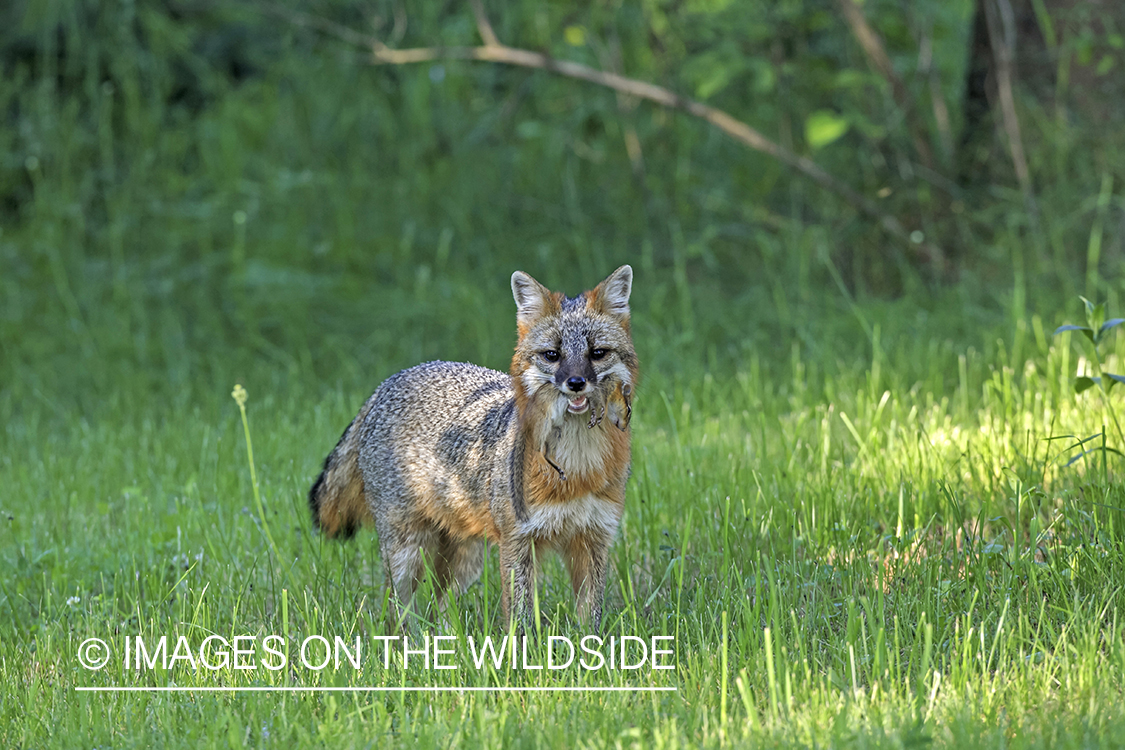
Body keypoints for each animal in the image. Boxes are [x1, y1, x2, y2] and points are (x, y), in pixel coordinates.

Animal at [312, 266, 639, 629]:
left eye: (597, 353)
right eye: (552, 355)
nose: (576, 383)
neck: (577, 468)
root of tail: (385, 384)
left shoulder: (593, 538)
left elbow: (590, 621)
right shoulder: (517, 542)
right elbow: (521, 621)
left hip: (465, 561)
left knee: (437, 610)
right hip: (407, 554)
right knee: (398, 612)